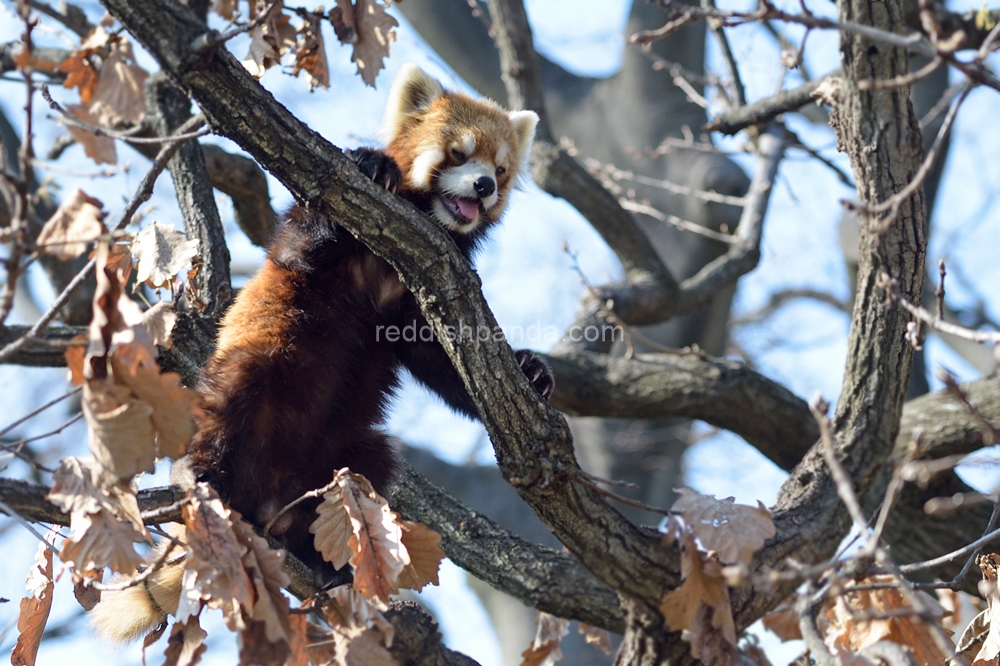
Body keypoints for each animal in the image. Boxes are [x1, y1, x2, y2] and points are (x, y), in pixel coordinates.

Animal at [92, 65, 556, 640]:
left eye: (501, 169)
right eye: (457, 154)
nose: (485, 186)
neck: (389, 260)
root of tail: (269, 500)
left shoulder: (420, 298)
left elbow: (443, 362)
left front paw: (530, 370)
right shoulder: (318, 253)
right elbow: (303, 243)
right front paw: (369, 163)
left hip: (344, 456)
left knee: (374, 461)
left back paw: (322, 558)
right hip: (252, 383)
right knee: (235, 395)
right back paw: (202, 477)